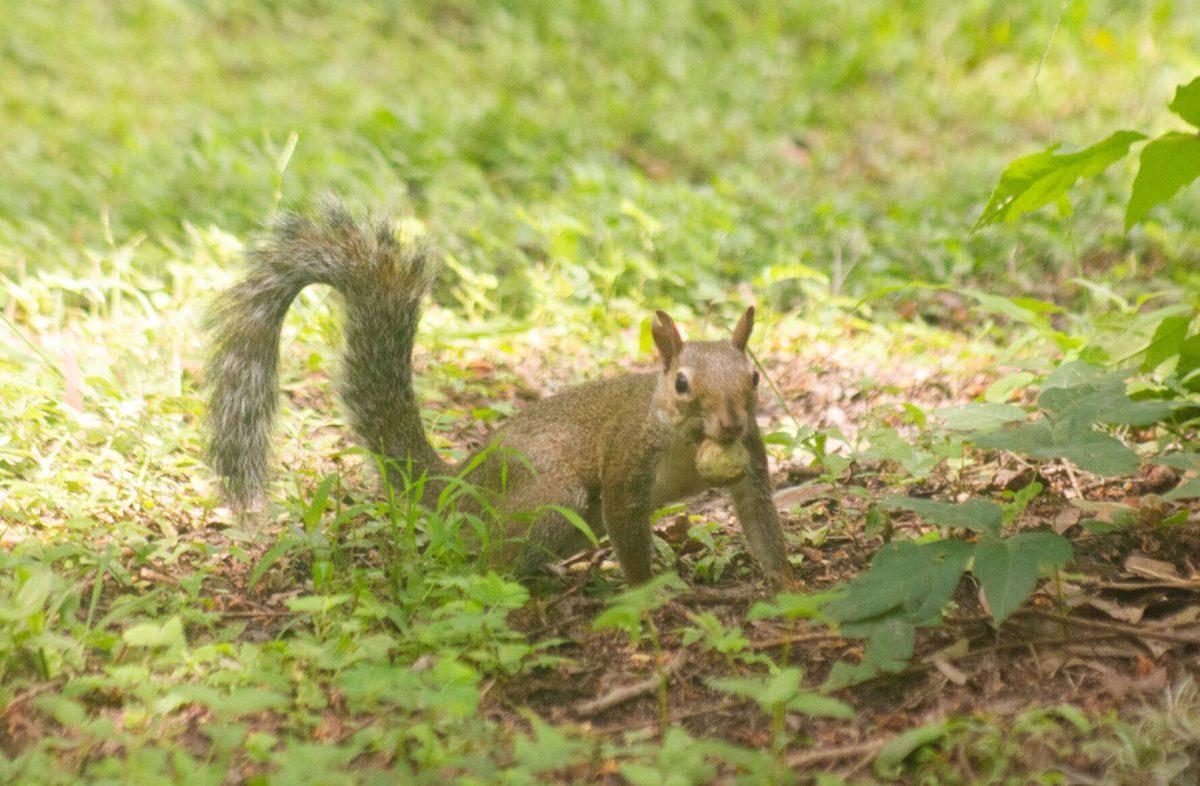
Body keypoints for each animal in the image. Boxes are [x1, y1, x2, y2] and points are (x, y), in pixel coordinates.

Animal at [205, 200, 792, 588]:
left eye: (753, 378)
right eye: (682, 383)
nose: (731, 423)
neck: (690, 440)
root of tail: (462, 487)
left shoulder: (752, 458)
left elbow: (760, 518)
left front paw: (788, 584)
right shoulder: (629, 458)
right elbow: (628, 527)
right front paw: (651, 593)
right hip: (553, 491)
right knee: (487, 561)